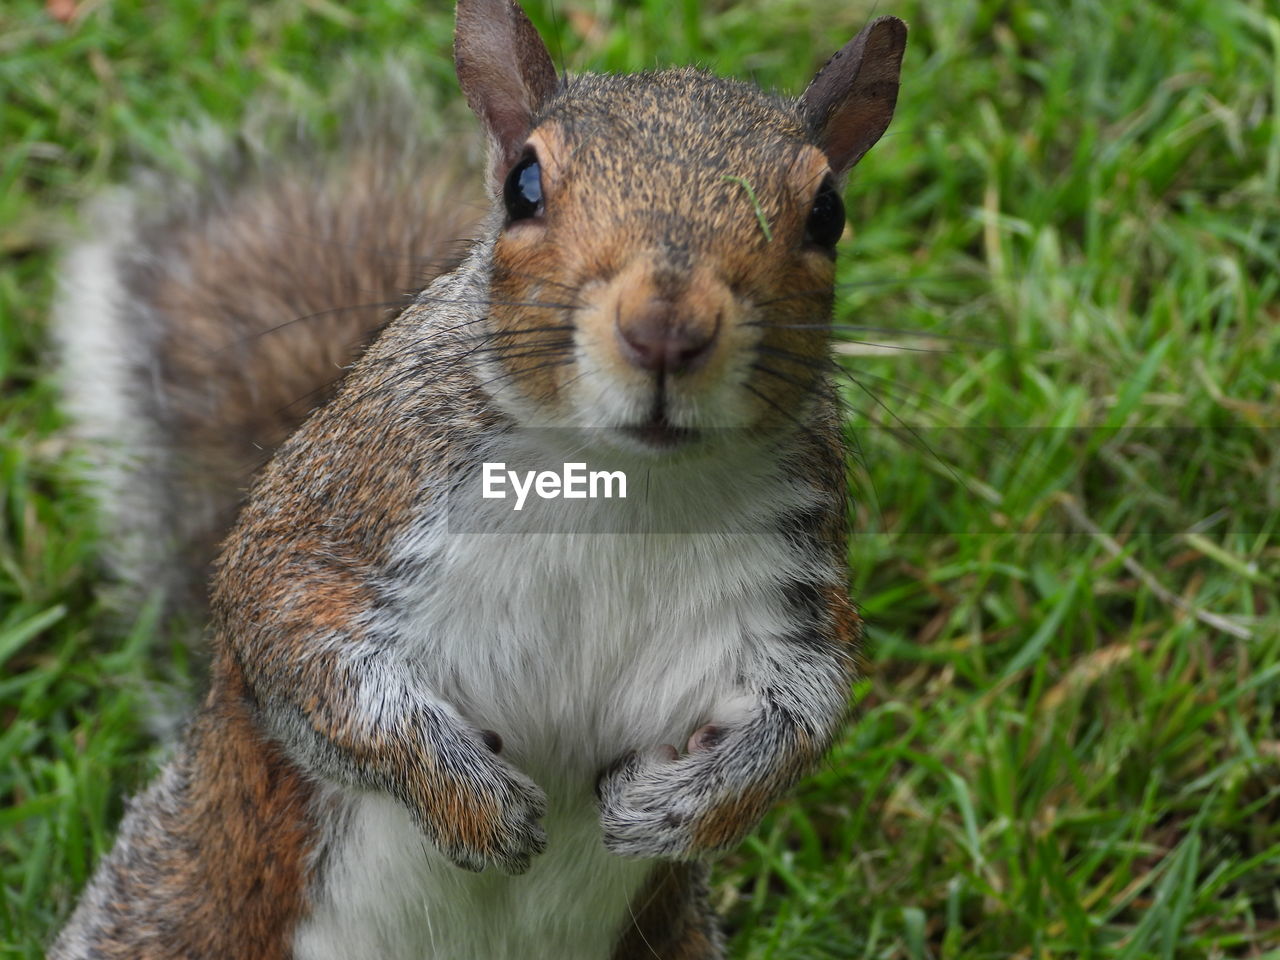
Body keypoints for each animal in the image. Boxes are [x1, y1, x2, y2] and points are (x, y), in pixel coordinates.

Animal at [49, 3, 906, 957]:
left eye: (827, 213)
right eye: (523, 186)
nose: (667, 330)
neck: (621, 483)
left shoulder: (792, 584)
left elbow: (809, 709)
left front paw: (681, 807)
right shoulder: (350, 509)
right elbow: (301, 647)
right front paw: (470, 803)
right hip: (173, 908)